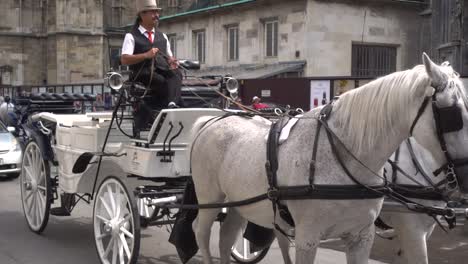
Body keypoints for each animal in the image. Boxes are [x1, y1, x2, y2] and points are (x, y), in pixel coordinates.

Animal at [189, 54, 468, 264]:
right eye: (453, 115)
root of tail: (213, 120)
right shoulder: (308, 238)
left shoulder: (361, 237)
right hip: (210, 199)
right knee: (200, 231)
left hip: (238, 202)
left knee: (226, 238)